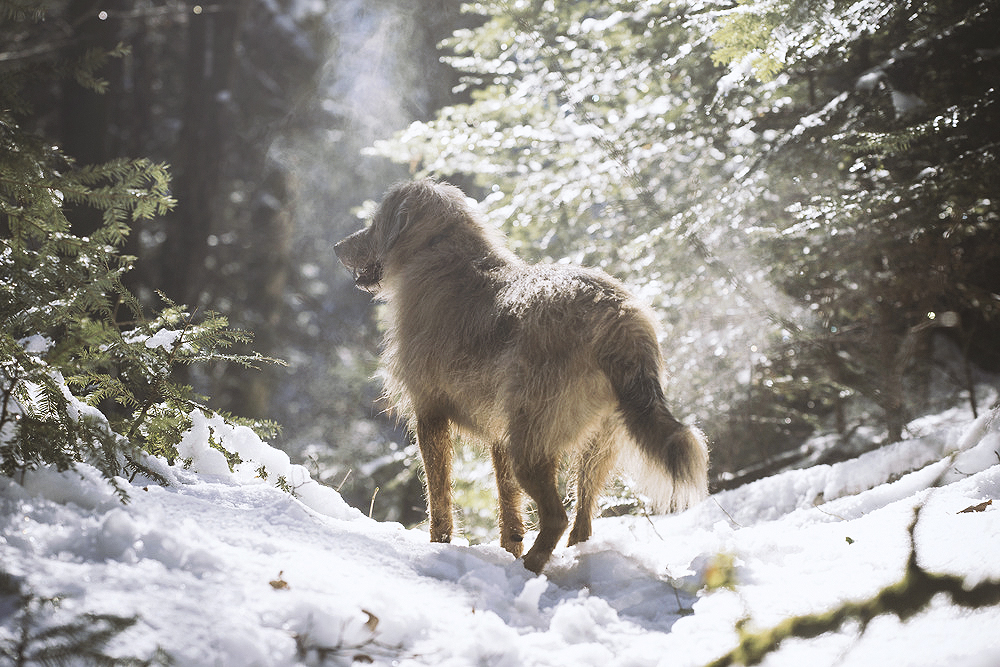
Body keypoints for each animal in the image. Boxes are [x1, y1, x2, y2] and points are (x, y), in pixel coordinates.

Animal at [336, 179, 712, 576]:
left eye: (375, 223)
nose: (337, 247)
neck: (441, 252)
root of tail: (618, 315)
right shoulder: (499, 432)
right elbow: (508, 503)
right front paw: (509, 547)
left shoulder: (430, 413)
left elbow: (439, 496)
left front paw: (440, 546)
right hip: (594, 445)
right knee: (582, 518)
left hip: (531, 443)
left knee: (558, 517)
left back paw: (529, 568)